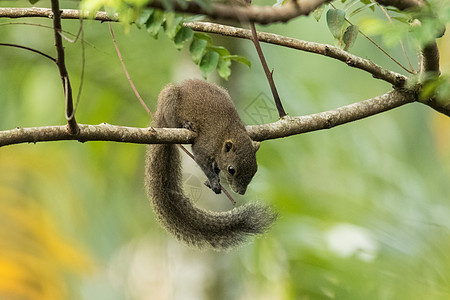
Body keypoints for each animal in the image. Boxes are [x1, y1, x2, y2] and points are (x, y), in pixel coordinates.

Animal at [146, 78, 276, 250]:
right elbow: (202, 161)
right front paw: (214, 181)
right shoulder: (205, 145)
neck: (228, 132)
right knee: (172, 120)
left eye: (254, 170)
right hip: (169, 99)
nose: (240, 192)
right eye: (231, 169)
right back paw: (184, 125)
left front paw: (215, 176)